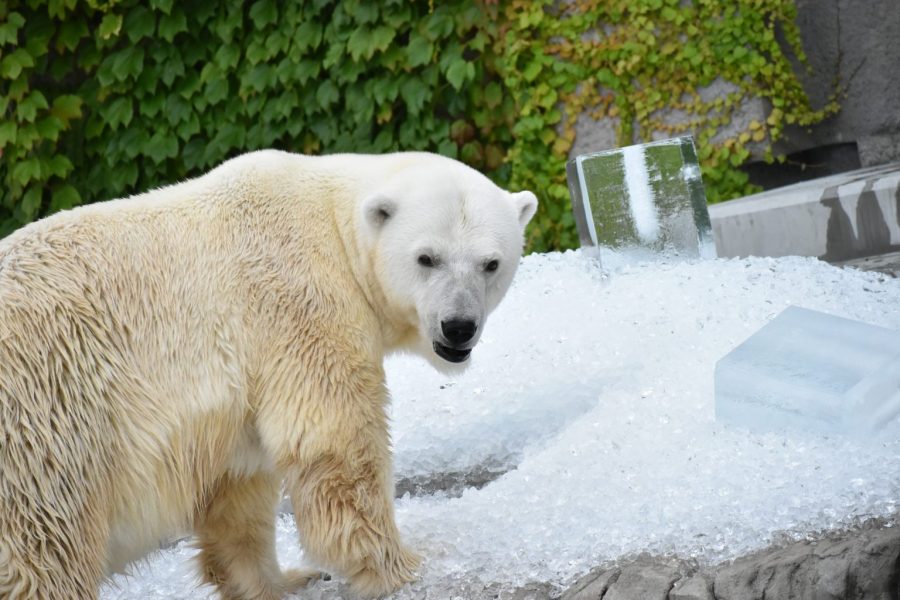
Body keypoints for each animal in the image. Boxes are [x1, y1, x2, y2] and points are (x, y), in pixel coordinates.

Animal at [0, 148, 536, 596]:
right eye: (427, 258)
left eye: (491, 263)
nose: (459, 326)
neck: (333, 223)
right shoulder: (298, 303)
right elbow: (337, 444)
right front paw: (402, 566)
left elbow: (238, 488)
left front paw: (284, 578)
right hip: (44, 432)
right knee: (46, 549)